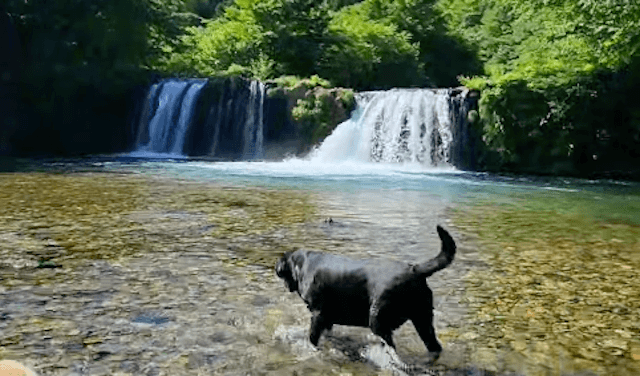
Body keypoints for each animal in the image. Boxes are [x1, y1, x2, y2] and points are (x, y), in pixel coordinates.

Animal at [276, 226, 456, 352]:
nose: (285, 286)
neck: (301, 265)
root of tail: (414, 269)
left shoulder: (318, 314)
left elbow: (312, 337)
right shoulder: (328, 317)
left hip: (378, 319)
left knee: (391, 346)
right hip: (423, 319)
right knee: (434, 346)